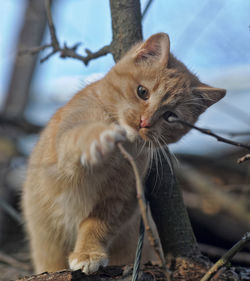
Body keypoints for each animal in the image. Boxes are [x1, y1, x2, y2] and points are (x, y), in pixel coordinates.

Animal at [22, 32, 227, 274]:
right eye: (142, 92)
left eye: (170, 116)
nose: (144, 122)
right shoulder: (60, 150)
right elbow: (79, 138)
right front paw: (100, 138)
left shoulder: (120, 199)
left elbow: (96, 226)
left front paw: (88, 252)